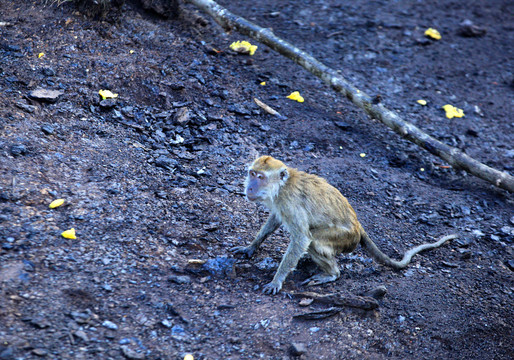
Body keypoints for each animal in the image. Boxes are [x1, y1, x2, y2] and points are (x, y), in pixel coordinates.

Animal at [230, 156, 454, 294]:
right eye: (252, 173)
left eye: (261, 177)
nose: (250, 188)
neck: (282, 186)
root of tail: (358, 224)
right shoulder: (279, 204)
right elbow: (274, 221)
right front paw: (251, 246)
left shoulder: (289, 202)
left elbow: (302, 237)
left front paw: (277, 280)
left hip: (345, 238)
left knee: (314, 241)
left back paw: (332, 274)